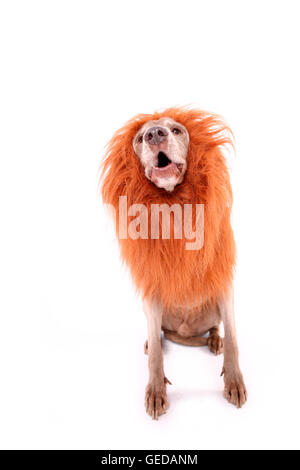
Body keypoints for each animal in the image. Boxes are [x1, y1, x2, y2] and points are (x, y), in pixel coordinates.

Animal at [101, 106, 246, 418]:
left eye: (176, 130)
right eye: (140, 138)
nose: (156, 134)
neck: (173, 206)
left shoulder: (224, 282)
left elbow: (234, 341)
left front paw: (234, 381)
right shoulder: (152, 289)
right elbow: (156, 354)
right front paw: (156, 392)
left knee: (216, 327)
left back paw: (214, 339)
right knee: (157, 334)